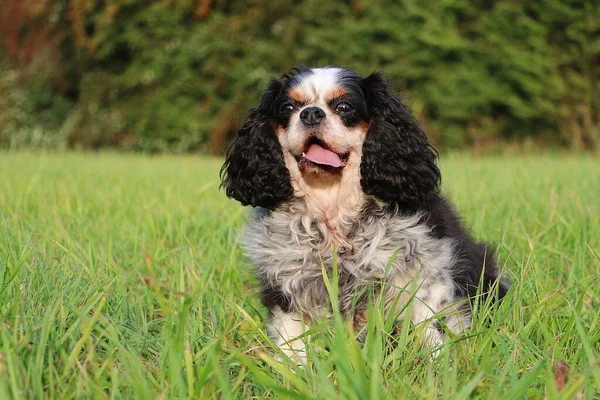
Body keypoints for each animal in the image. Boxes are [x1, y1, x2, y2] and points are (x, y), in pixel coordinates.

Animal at [219, 66, 506, 362]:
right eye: (288, 107)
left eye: (344, 107)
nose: (310, 113)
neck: (331, 205)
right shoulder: (288, 283)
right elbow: (292, 340)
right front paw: (292, 369)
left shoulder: (425, 277)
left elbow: (430, 330)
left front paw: (436, 367)